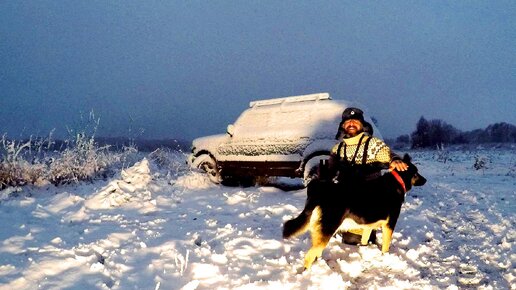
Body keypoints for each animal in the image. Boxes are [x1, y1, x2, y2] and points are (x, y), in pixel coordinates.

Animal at [284, 154, 426, 270]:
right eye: (416, 173)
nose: (425, 180)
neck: (397, 181)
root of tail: (320, 191)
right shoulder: (389, 225)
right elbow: (386, 246)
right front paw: (385, 257)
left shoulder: (368, 226)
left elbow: (364, 240)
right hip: (327, 230)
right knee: (309, 256)